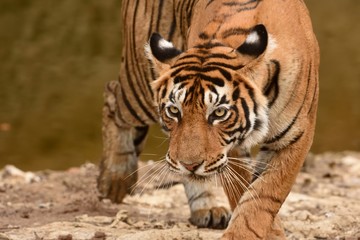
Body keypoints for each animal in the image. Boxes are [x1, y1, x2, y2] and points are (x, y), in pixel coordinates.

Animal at [97, 0, 320, 237]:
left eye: (219, 113)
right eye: (174, 110)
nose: (190, 165)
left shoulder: (293, 139)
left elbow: (265, 194)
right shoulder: (231, 148)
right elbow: (242, 189)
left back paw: (205, 207)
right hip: (140, 84)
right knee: (112, 95)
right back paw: (114, 178)